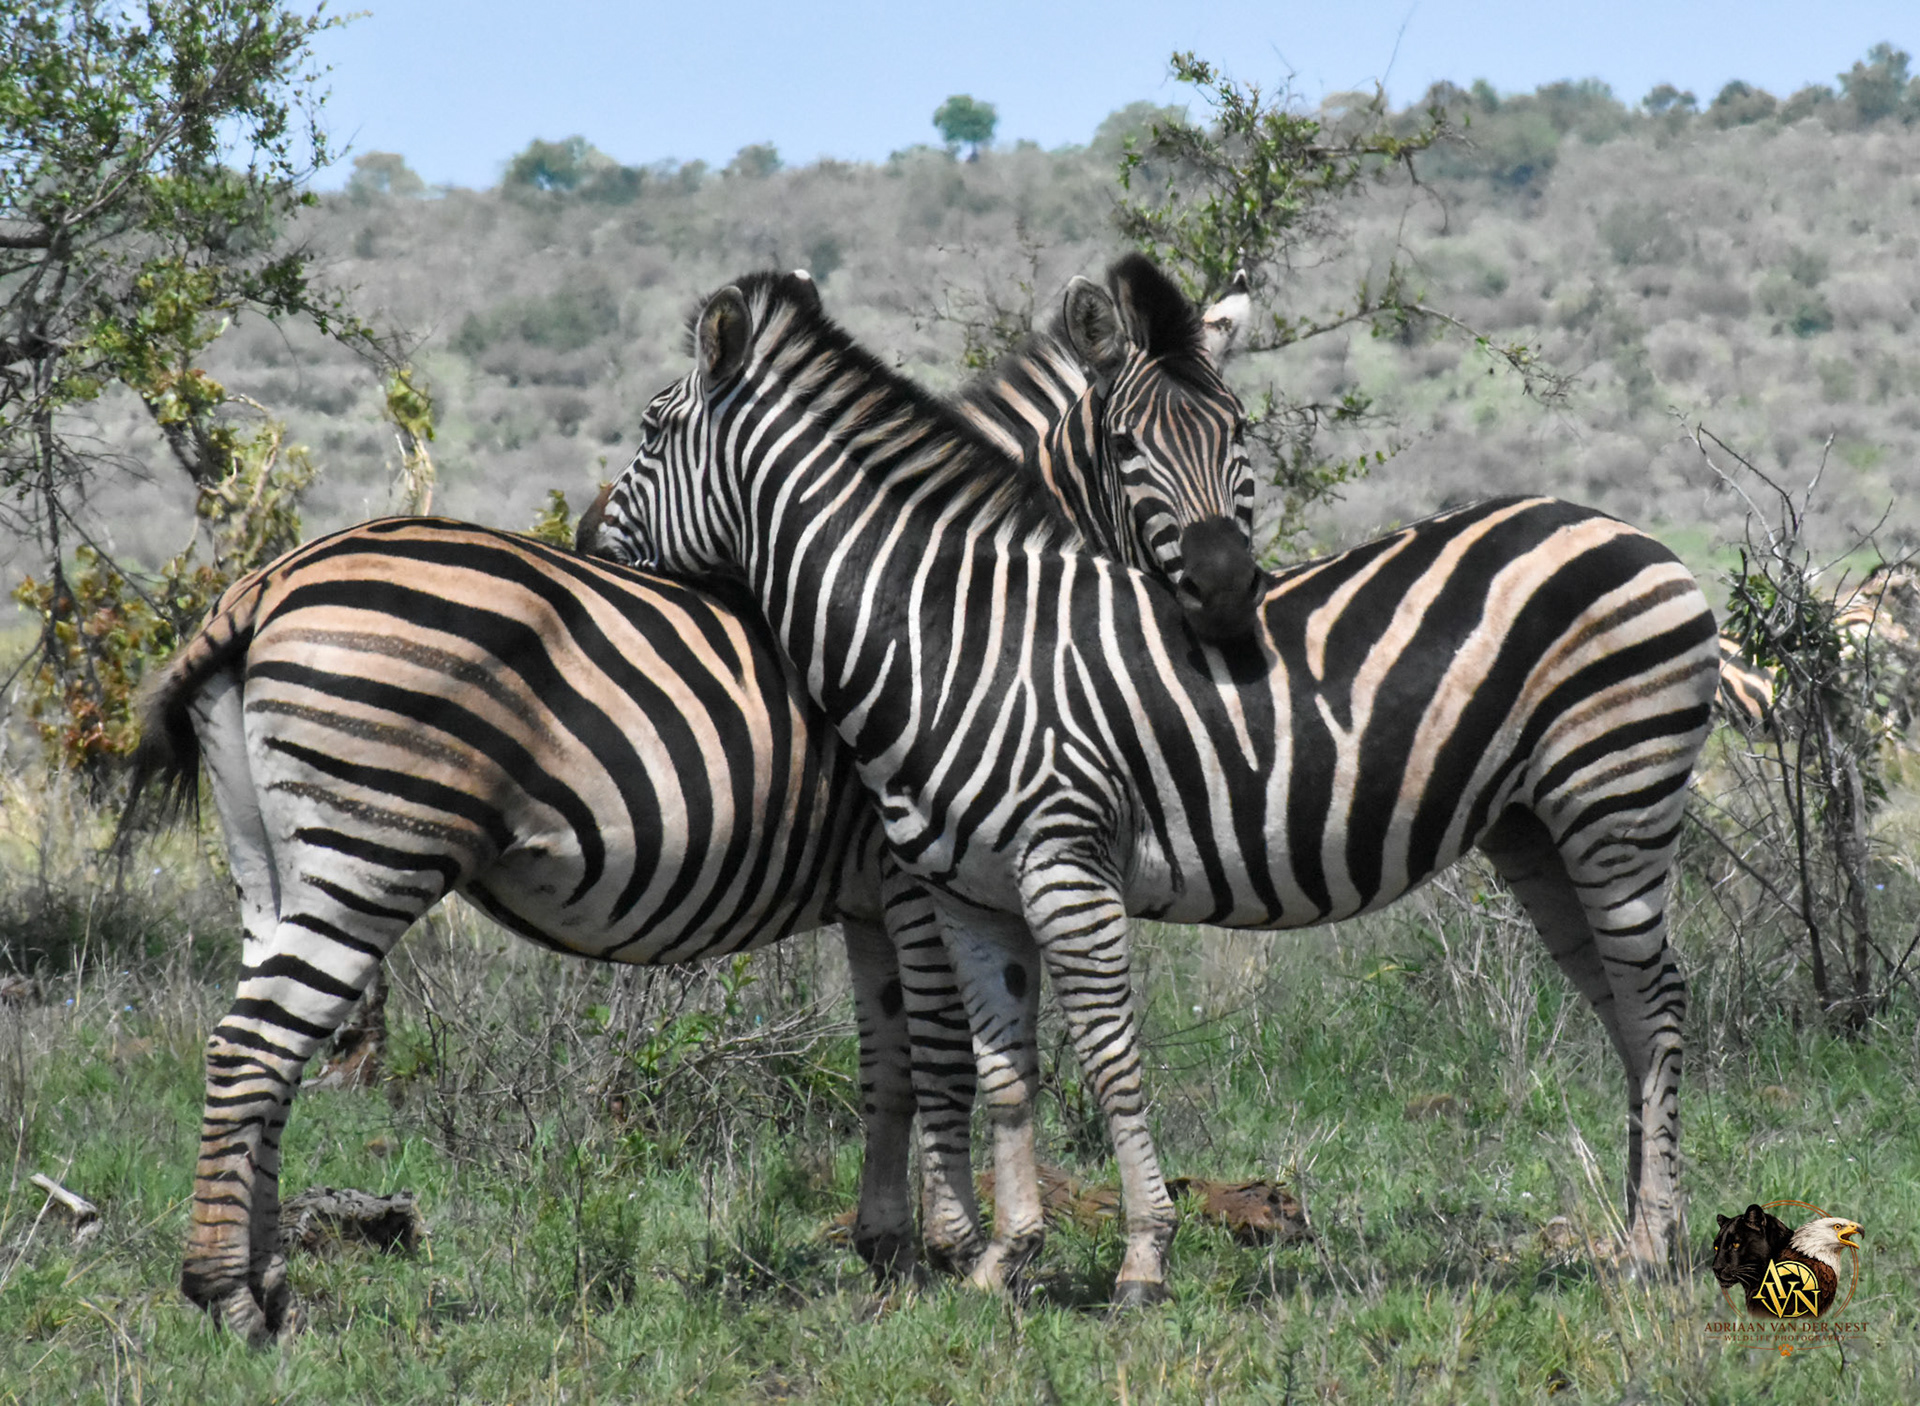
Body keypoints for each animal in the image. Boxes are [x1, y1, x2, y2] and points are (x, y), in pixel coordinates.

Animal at [137, 263, 1253, 1339]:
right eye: (1129, 447)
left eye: (1241, 436)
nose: (1227, 589)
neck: (954, 607)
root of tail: (266, 583)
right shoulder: (914, 875)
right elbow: (945, 1057)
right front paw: (955, 1247)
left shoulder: (868, 902)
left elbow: (886, 1061)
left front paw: (888, 1247)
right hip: (373, 848)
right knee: (256, 1042)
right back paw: (225, 1297)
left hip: (273, 862)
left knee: (266, 1045)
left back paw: (265, 1282)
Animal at [581, 271, 1721, 1304]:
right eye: (1130, 445)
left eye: (649, 427)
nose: (586, 539)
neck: (949, 635)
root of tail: (1633, 535)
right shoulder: (965, 893)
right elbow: (1002, 1069)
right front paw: (1001, 1261)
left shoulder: (1059, 871)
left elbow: (1101, 1058)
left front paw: (1136, 1261)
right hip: (1535, 830)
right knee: (1624, 1006)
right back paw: (1640, 1236)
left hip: (1614, 799)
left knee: (1660, 999)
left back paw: (1652, 1248)